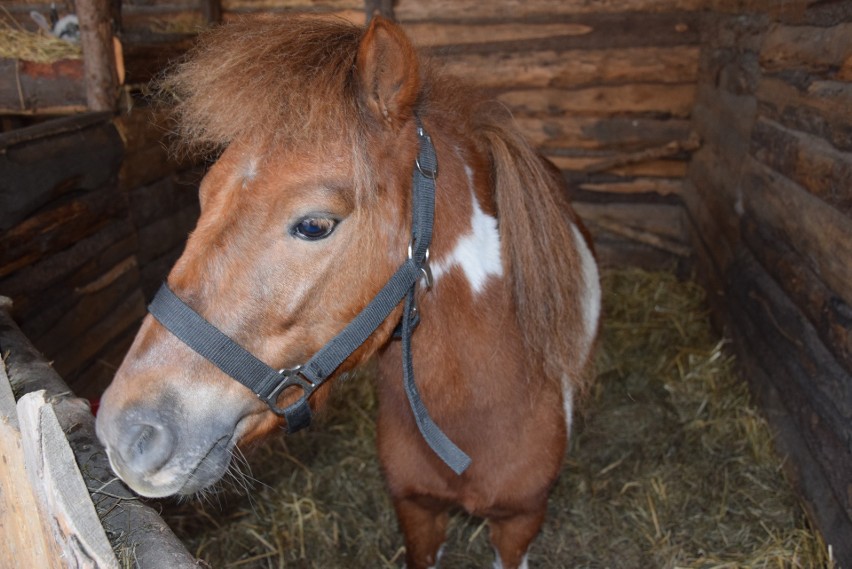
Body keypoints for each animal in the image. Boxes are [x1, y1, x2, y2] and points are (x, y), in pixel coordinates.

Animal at [96, 14, 604, 568]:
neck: (477, 410)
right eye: (206, 197)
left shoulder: (518, 525)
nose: (127, 432)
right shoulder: (416, 512)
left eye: (314, 225)